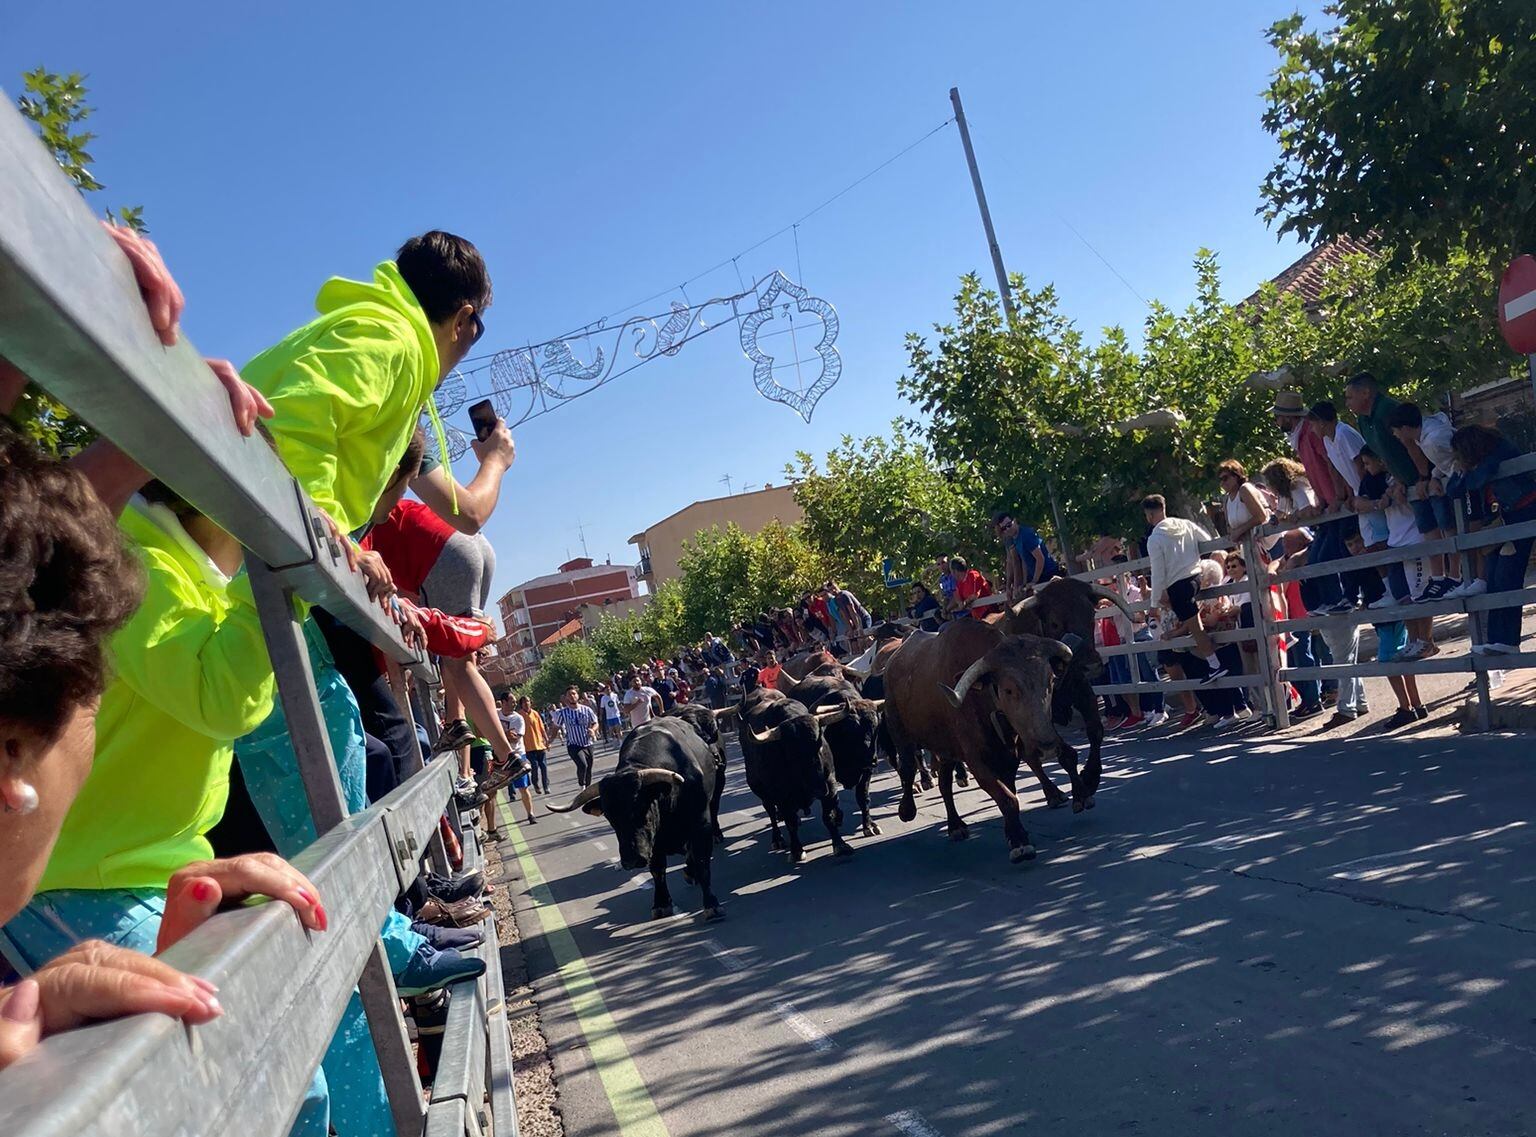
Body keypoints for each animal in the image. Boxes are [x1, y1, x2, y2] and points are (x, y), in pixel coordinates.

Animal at [884, 620, 1075, 860]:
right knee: (908, 767)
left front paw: (1014, 834)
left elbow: (1009, 791)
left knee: (945, 784)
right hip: (899, 731)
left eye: (1050, 680)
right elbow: (1008, 798)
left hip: (945, 749)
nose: (1047, 745)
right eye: (1008, 689)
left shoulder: (1008, 754)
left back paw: (955, 825)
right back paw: (907, 809)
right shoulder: (977, 761)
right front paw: (1020, 843)